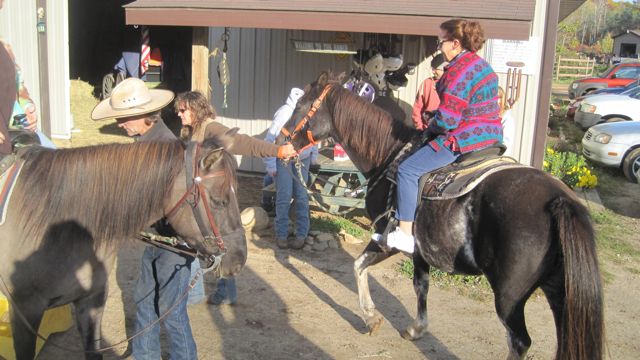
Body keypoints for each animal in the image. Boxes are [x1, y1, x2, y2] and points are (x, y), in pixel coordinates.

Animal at [278, 71, 604, 358]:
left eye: (300, 105)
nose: (281, 145)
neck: (390, 155)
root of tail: (559, 199)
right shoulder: (422, 251)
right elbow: (420, 287)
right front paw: (416, 328)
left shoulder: (385, 237)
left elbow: (358, 265)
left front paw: (370, 317)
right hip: (560, 291)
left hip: (510, 296)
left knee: (520, 341)